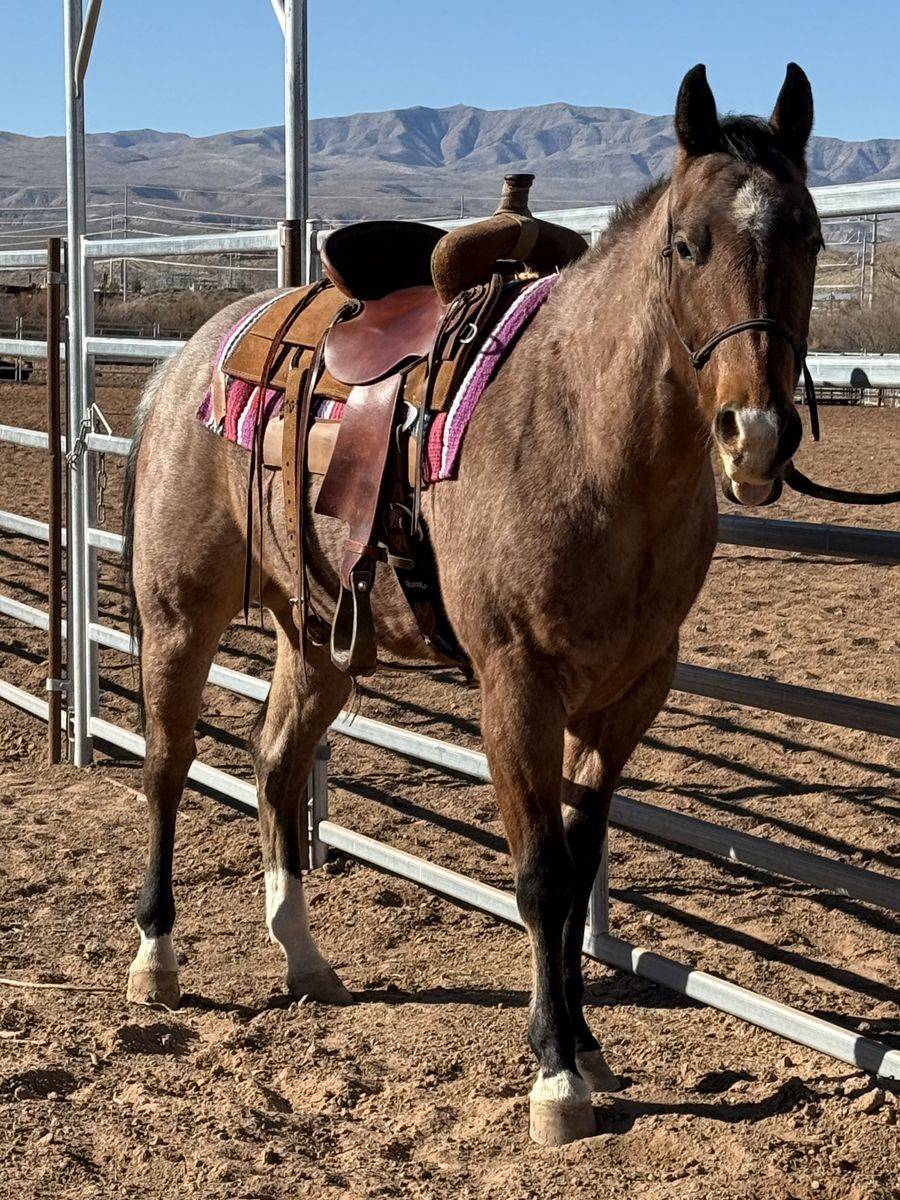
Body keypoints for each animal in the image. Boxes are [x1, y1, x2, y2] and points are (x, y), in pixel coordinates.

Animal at [122, 63, 821, 1145]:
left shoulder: (627, 701)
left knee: (275, 763)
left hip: (318, 641)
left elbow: (580, 868)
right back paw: (156, 961)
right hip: (178, 613)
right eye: (686, 244)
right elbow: (540, 877)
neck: (585, 432)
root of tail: (188, 362)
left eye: (812, 238)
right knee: (167, 762)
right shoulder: (516, 690)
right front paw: (556, 1078)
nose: (757, 435)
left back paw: (304, 959)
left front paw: (586, 1044)